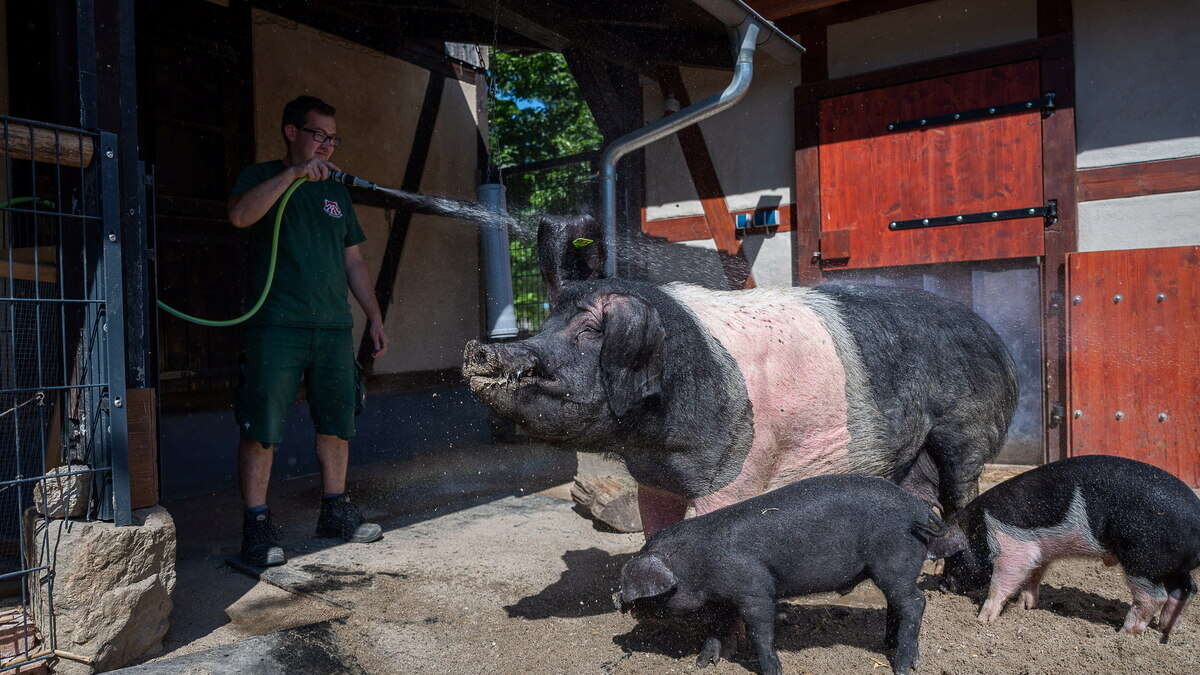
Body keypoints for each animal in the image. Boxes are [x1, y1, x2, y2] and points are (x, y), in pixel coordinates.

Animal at [463, 214, 1017, 535]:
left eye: (588, 329)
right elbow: (654, 532)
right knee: (921, 496)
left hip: (967, 426)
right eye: (548, 323)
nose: (477, 349)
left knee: (961, 492)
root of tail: (997, 341)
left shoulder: (737, 470)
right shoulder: (656, 480)